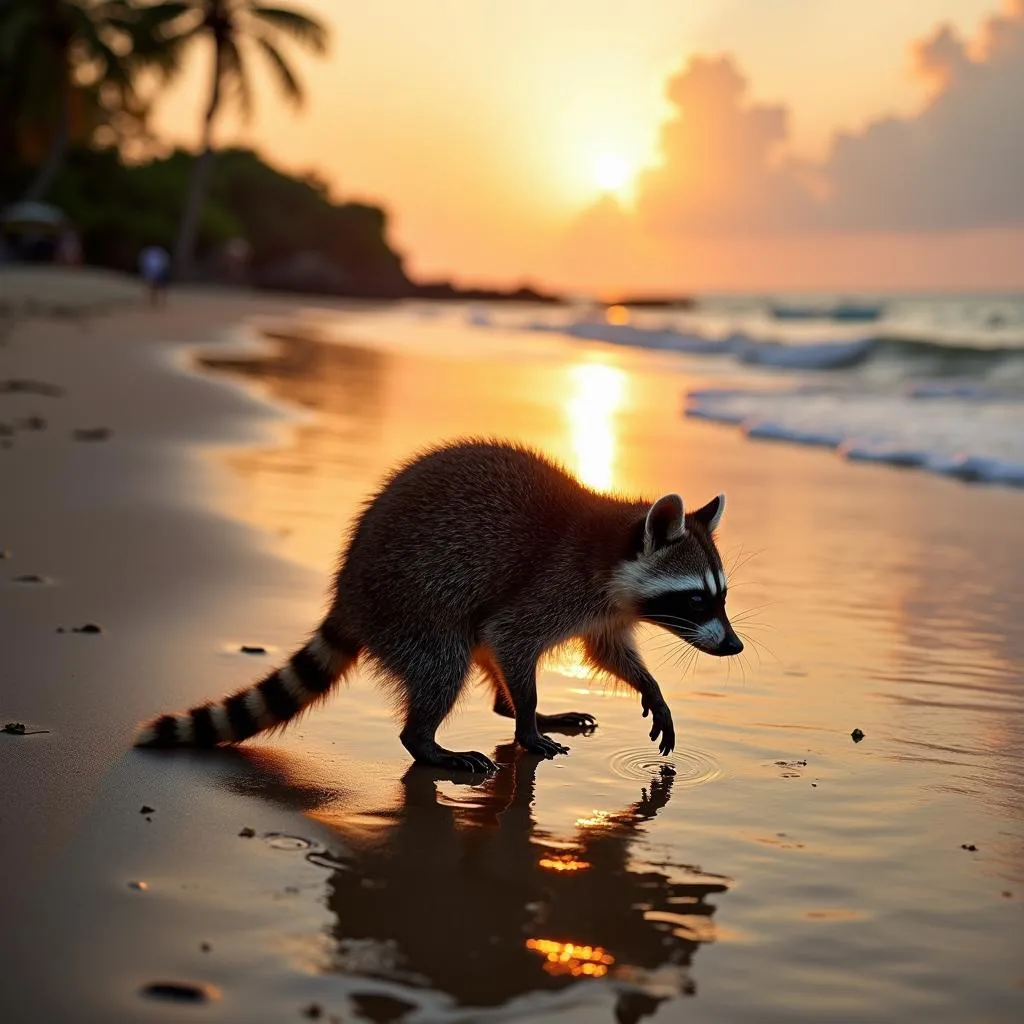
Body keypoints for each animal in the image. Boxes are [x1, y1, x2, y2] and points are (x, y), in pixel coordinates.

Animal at [136, 438, 745, 770]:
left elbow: (604, 653)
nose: (735, 646)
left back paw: (506, 707)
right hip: (411, 602)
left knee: (474, 645)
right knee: (447, 659)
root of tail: (347, 590)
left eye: (722, 596)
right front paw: (528, 720)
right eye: (697, 599)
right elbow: (510, 635)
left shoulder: (603, 612)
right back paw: (430, 740)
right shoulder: (556, 586)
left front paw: (649, 687)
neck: (610, 554)